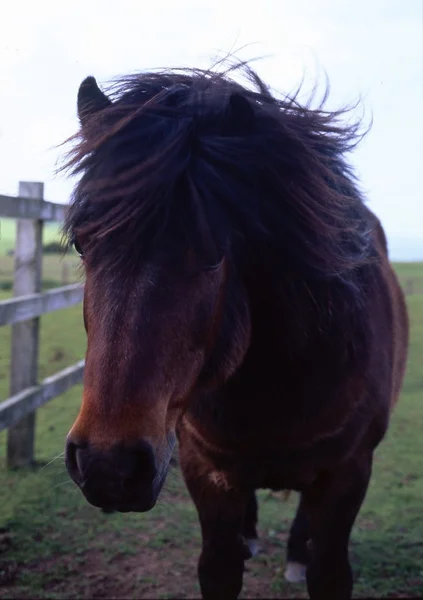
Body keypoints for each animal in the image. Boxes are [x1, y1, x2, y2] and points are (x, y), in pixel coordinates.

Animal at [63, 63, 410, 596]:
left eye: (213, 253)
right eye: (83, 243)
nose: (108, 466)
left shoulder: (346, 474)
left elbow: (329, 570)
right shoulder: (207, 472)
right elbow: (219, 567)